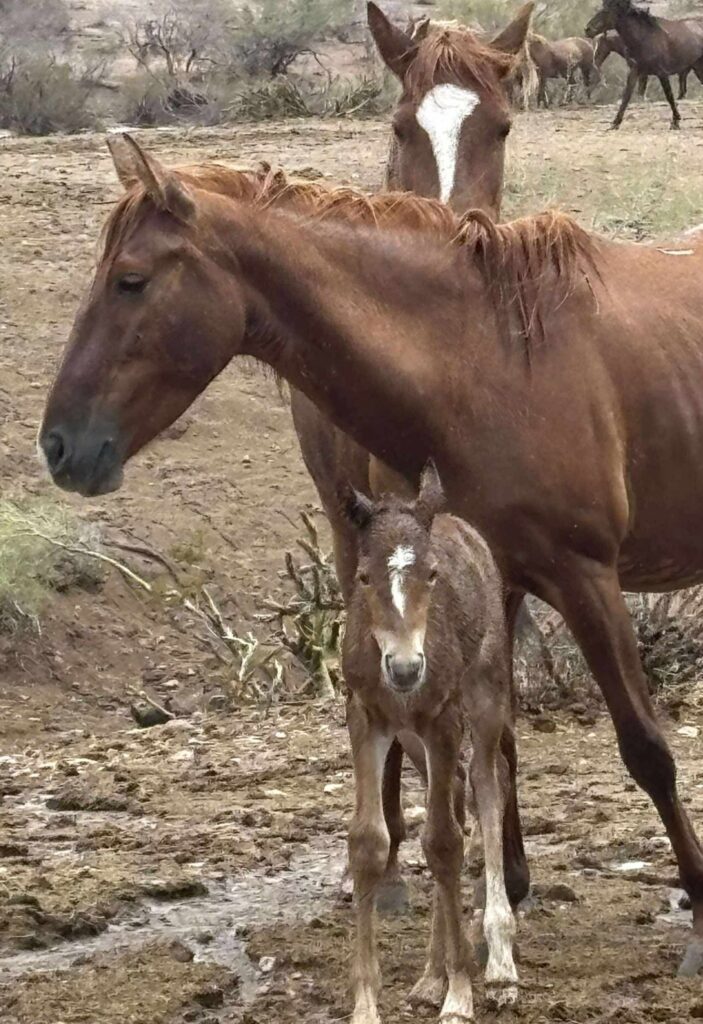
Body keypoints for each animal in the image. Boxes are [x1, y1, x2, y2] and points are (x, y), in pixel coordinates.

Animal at [343, 462, 517, 1021]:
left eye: (432, 575)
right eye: (364, 577)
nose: (405, 668)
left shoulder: (442, 719)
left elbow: (443, 843)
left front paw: (460, 995)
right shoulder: (367, 719)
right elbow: (370, 842)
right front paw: (366, 1004)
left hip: (483, 694)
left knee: (487, 783)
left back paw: (499, 961)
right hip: (413, 735)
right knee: (458, 788)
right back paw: (429, 976)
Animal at [586, 0, 703, 129]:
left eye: (606, 11)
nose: (587, 29)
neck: (644, 39)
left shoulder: (661, 73)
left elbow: (669, 96)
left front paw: (675, 121)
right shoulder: (635, 71)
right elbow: (627, 96)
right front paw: (615, 123)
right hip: (697, 68)